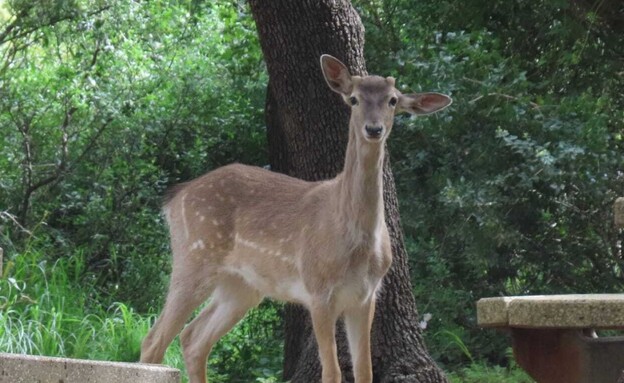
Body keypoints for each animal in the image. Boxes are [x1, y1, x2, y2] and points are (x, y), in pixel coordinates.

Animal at [140, 54, 454, 383]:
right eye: (353, 99)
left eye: (392, 100)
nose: (374, 128)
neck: (356, 241)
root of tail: (175, 198)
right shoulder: (318, 290)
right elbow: (332, 372)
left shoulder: (365, 296)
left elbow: (364, 371)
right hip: (193, 257)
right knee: (154, 340)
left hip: (242, 286)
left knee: (193, 338)